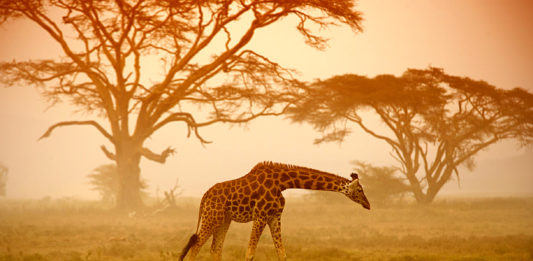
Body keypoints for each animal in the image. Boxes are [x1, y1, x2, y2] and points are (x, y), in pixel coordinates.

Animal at [179, 161, 370, 258]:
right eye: (360, 190)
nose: (368, 205)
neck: (283, 183)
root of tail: (204, 196)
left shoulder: (275, 216)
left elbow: (282, 253)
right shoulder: (261, 215)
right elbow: (249, 253)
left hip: (224, 219)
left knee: (215, 249)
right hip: (212, 217)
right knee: (195, 246)